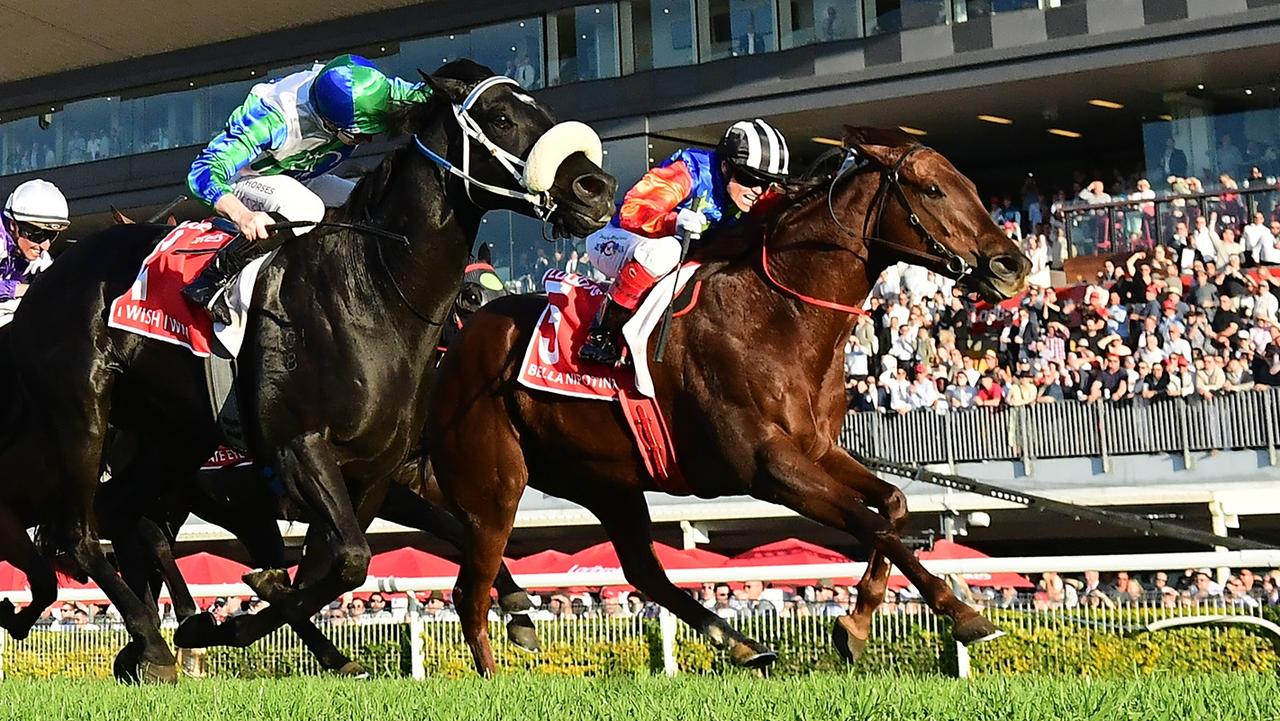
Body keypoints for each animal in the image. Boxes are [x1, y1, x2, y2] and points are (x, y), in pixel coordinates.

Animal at [0, 57, 619, 681]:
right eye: (500, 117)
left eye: (540, 105)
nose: (596, 188)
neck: (373, 290)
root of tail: (53, 276)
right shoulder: (301, 447)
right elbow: (347, 561)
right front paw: (235, 620)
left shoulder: (375, 472)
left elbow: (346, 562)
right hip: (81, 418)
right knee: (79, 535)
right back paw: (152, 640)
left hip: (168, 442)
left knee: (124, 520)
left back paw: (159, 640)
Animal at [427, 126, 1029, 676]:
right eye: (932, 189)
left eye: (972, 186)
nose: (1012, 265)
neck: (777, 316)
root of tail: (458, 342)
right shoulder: (766, 467)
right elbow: (871, 523)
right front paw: (961, 613)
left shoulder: (815, 451)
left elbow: (894, 506)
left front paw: (855, 623)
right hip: (495, 490)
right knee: (469, 591)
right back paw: (492, 674)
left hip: (603, 481)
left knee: (644, 572)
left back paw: (742, 644)